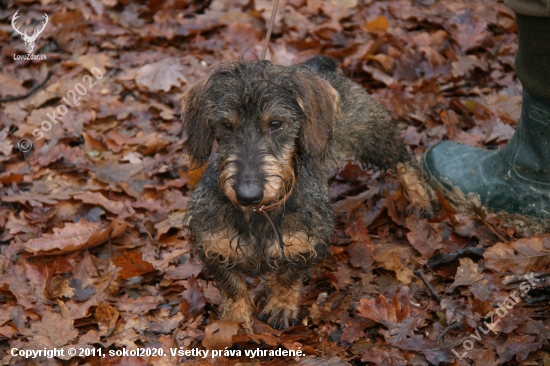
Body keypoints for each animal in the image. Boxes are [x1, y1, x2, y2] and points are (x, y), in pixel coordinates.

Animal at [183, 55, 438, 332]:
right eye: (226, 125)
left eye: (276, 123)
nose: (248, 195)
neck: (260, 213)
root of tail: (315, 66)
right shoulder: (212, 245)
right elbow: (232, 285)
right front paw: (235, 320)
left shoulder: (306, 242)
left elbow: (288, 277)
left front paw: (281, 306)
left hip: (373, 136)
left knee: (404, 160)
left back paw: (420, 199)